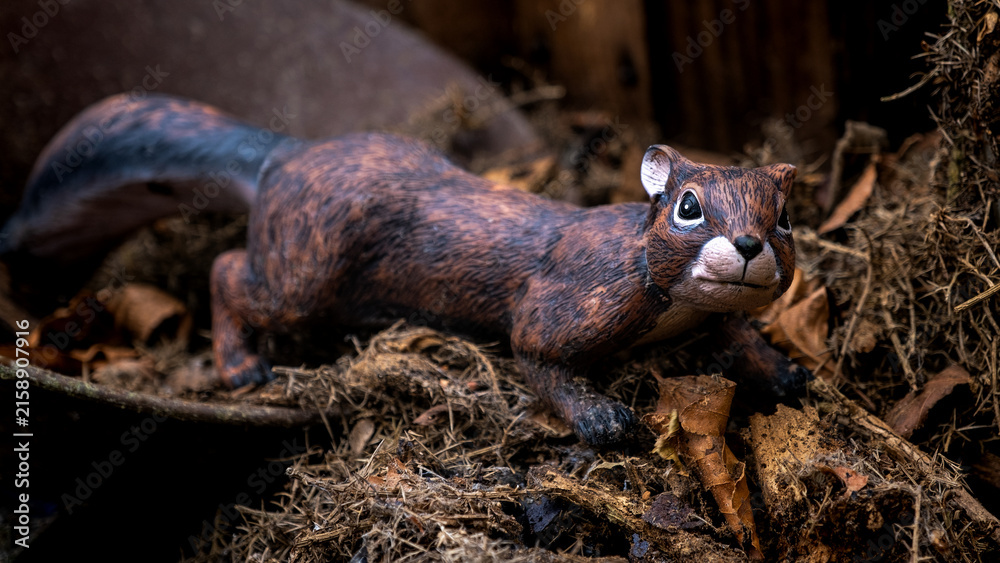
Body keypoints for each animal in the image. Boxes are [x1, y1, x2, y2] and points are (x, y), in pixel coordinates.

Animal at [1, 93, 807, 445]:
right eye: (689, 207)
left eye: (784, 215)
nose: (747, 244)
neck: (673, 312)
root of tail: (285, 159)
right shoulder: (569, 302)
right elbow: (538, 355)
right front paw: (603, 416)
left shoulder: (714, 318)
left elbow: (742, 342)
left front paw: (789, 374)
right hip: (301, 272)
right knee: (229, 270)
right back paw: (241, 368)